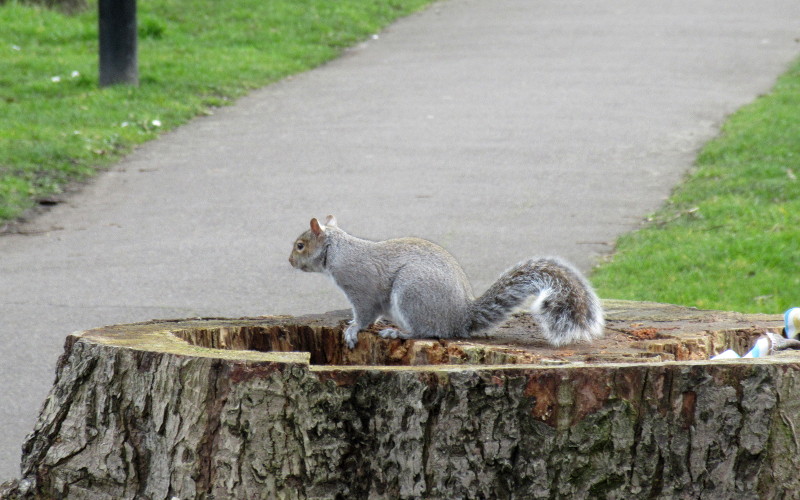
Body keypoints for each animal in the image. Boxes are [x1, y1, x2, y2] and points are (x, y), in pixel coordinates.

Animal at [290, 217, 604, 350]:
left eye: (300, 245)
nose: (290, 261)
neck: (337, 250)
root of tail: (461, 317)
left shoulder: (361, 288)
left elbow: (366, 313)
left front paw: (353, 329)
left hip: (411, 293)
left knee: (427, 332)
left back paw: (399, 333)